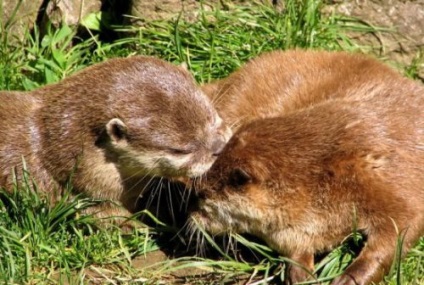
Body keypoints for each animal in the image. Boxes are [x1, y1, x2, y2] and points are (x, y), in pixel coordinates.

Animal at [192, 51, 424, 284]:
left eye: (201, 195)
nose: (191, 217)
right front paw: (302, 273)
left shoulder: (392, 186)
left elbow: (398, 234)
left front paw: (350, 278)